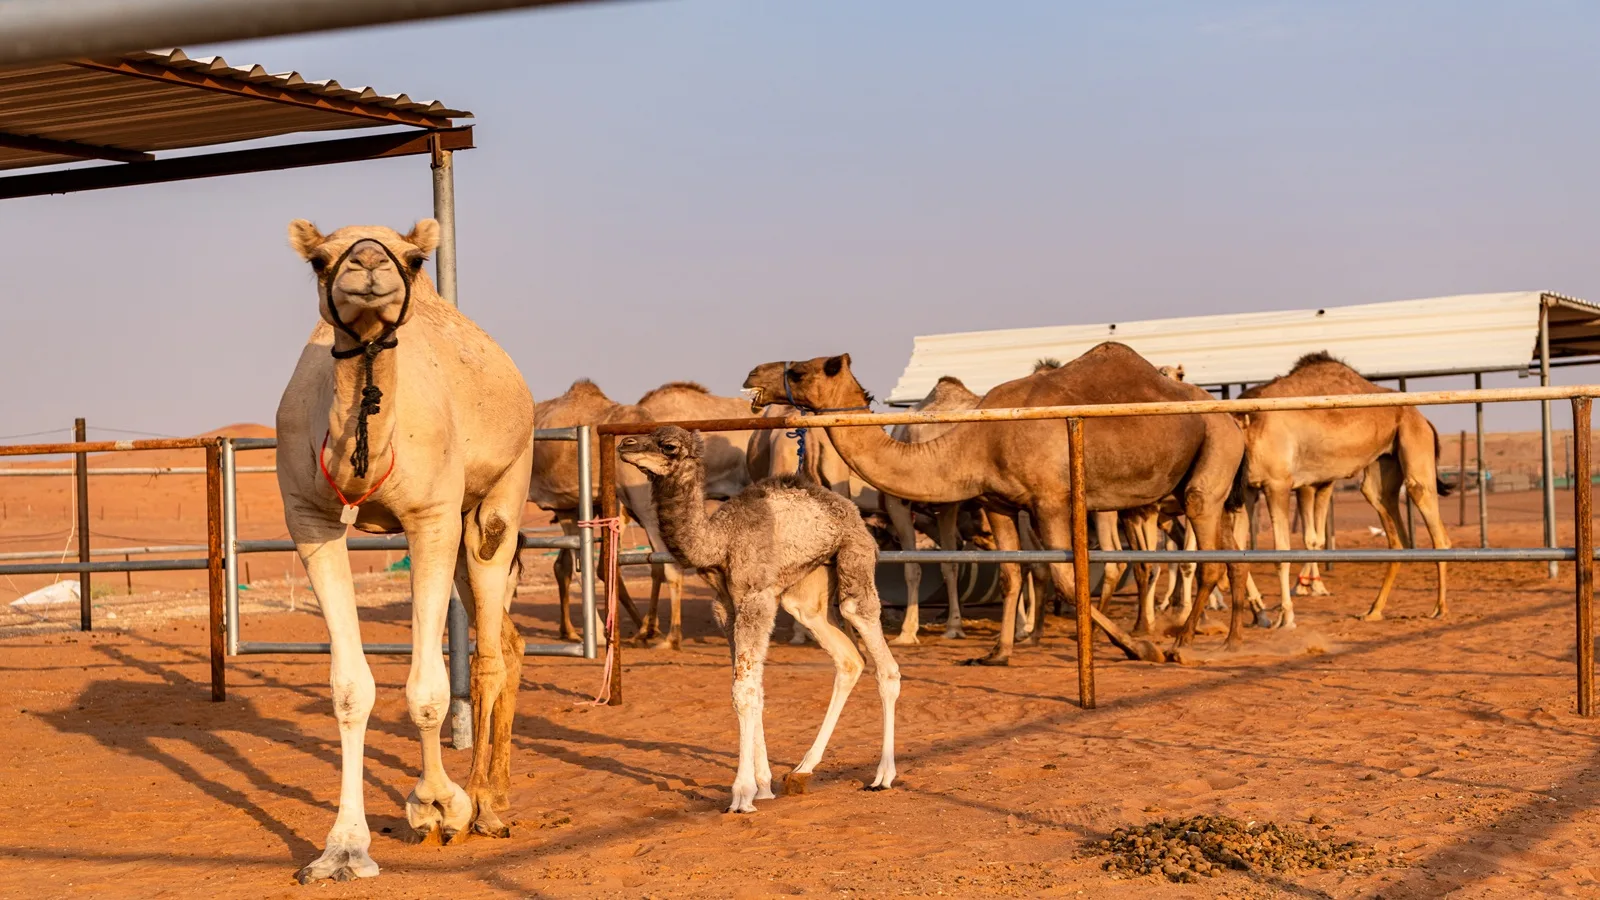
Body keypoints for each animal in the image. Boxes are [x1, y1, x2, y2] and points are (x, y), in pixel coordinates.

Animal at [276, 219, 533, 883]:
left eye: (416, 260)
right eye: (319, 260)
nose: (368, 263)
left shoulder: (431, 518)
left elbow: (430, 689)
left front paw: (438, 808)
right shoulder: (310, 519)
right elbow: (349, 690)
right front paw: (342, 849)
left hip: (501, 492)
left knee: (489, 651)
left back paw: (486, 806)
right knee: (510, 641)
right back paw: (496, 792)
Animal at [619, 426, 900, 812]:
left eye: (669, 446)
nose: (625, 444)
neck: (719, 542)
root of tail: (852, 513)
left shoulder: (757, 598)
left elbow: (743, 691)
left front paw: (741, 794)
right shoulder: (726, 606)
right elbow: (756, 689)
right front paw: (764, 785)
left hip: (854, 561)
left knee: (879, 654)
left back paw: (882, 776)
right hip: (805, 595)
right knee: (849, 659)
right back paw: (801, 771)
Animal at [745, 343, 1251, 665]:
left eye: (800, 371)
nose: (752, 375)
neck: (979, 437)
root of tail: (1233, 421)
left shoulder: (1051, 499)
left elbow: (1067, 578)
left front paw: (1138, 648)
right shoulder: (998, 503)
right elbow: (1010, 572)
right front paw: (997, 653)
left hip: (1210, 462)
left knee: (1208, 556)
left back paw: (1180, 645)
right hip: (1205, 483)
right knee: (1233, 555)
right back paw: (1230, 641)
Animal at [1233, 351, 1453, 627]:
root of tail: (1424, 420)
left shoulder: (1278, 484)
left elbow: (1281, 552)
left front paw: (1286, 615)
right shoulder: (1248, 489)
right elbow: (1236, 548)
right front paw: (1258, 610)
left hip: (1415, 448)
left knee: (1431, 518)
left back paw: (1440, 608)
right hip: (1380, 473)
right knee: (1397, 535)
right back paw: (1373, 611)